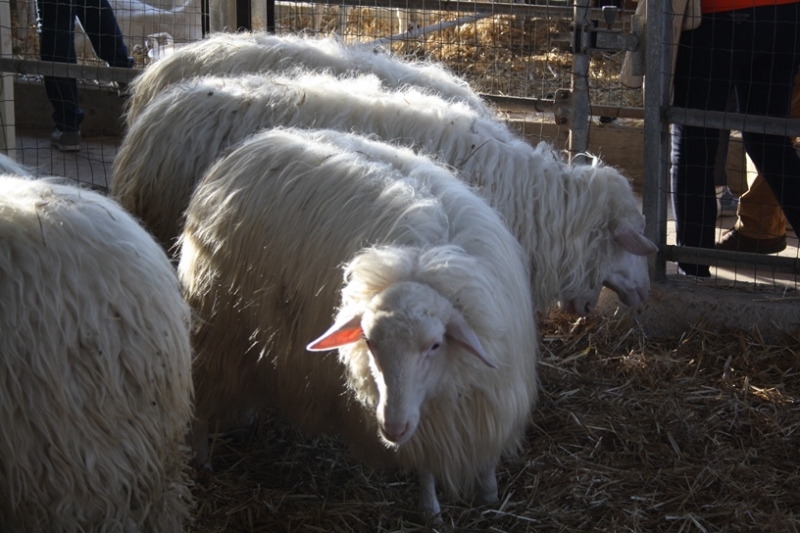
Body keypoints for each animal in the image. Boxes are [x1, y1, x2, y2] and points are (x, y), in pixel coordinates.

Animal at [179, 127, 538, 515]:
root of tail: (250, 145)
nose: (391, 427)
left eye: (435, 345)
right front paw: (430, 508)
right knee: (204, 392)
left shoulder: (490, 396)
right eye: (367, 341)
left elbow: (487, 455)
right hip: (217, 326)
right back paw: (202, 457)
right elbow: (426, 465)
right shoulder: (425, 420)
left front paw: (489, 494)